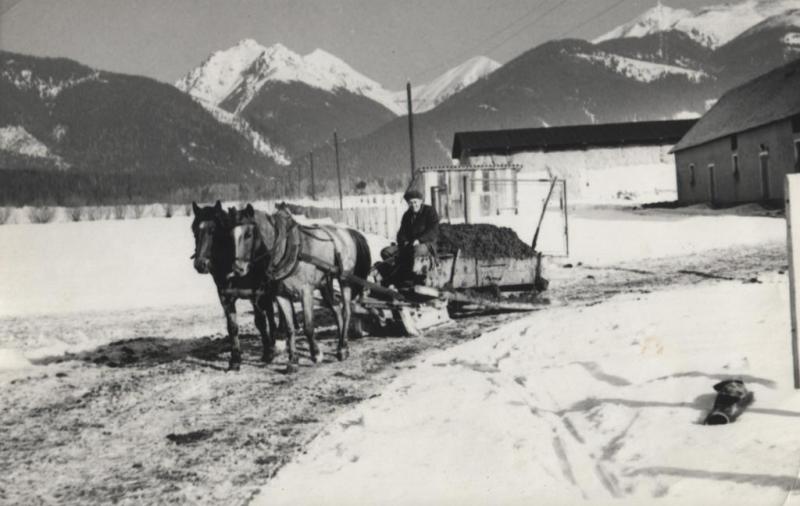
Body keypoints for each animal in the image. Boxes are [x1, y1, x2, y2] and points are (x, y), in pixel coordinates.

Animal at [191, 202, 282, 372]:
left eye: (214, 231)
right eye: (194, 230)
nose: (200, 264)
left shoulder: (256, 294)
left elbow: (260, 321)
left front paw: (268, 352)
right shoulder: (225, 297)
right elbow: (232, 326)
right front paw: (235, 359)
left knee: (273, 313)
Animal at [230, 203, 370, 372]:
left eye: (249, 234)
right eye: (231, 235)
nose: (238, 269)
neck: (287, 250)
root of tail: (346, 231)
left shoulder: (306, 292)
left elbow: (309, 326)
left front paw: (316, 354)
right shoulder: (281, 296)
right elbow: (290, 328)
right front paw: (293, 361)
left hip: (344, 280)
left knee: (346, 311)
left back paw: (342, 348)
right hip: (325, 284)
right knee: (336, 309)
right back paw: (342, 346)